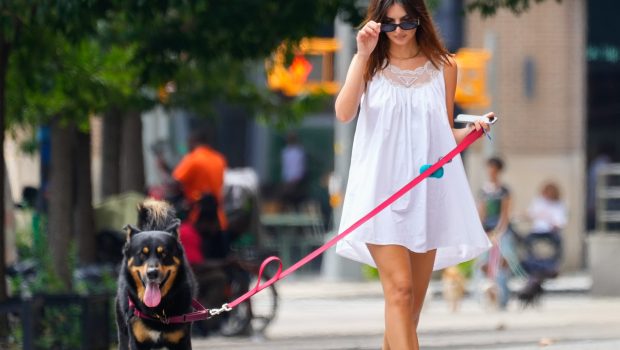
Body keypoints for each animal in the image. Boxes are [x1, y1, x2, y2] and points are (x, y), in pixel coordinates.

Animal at [114, 200, 196, 350]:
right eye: (142, 253)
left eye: (164, 254)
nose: (152, 273)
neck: (157, 311)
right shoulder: (136, 341)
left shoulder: (182, 341)